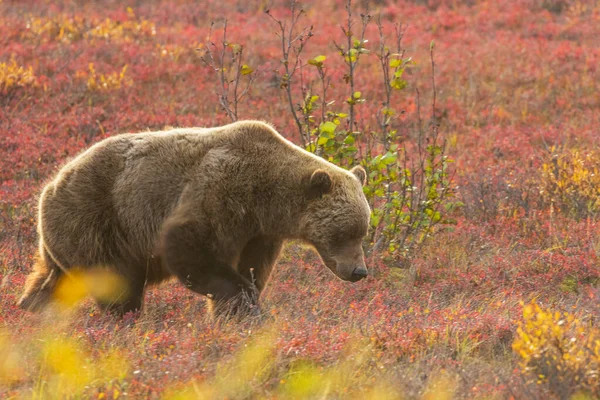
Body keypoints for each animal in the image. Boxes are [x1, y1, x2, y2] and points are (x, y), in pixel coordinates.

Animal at [17, 120, 370, 318]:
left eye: (363, 231)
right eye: (345, 232)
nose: (359, 271)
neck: (266, 197)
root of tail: (51, 184)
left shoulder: (259, 233)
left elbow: (254, 267)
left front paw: (236, 311)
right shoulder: (220, 193)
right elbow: (190, 247)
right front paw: (242, 305)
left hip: (65, 239)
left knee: (49, 280)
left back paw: (28, 311)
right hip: (97, 219)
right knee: (115, 283)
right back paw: (122, 319)